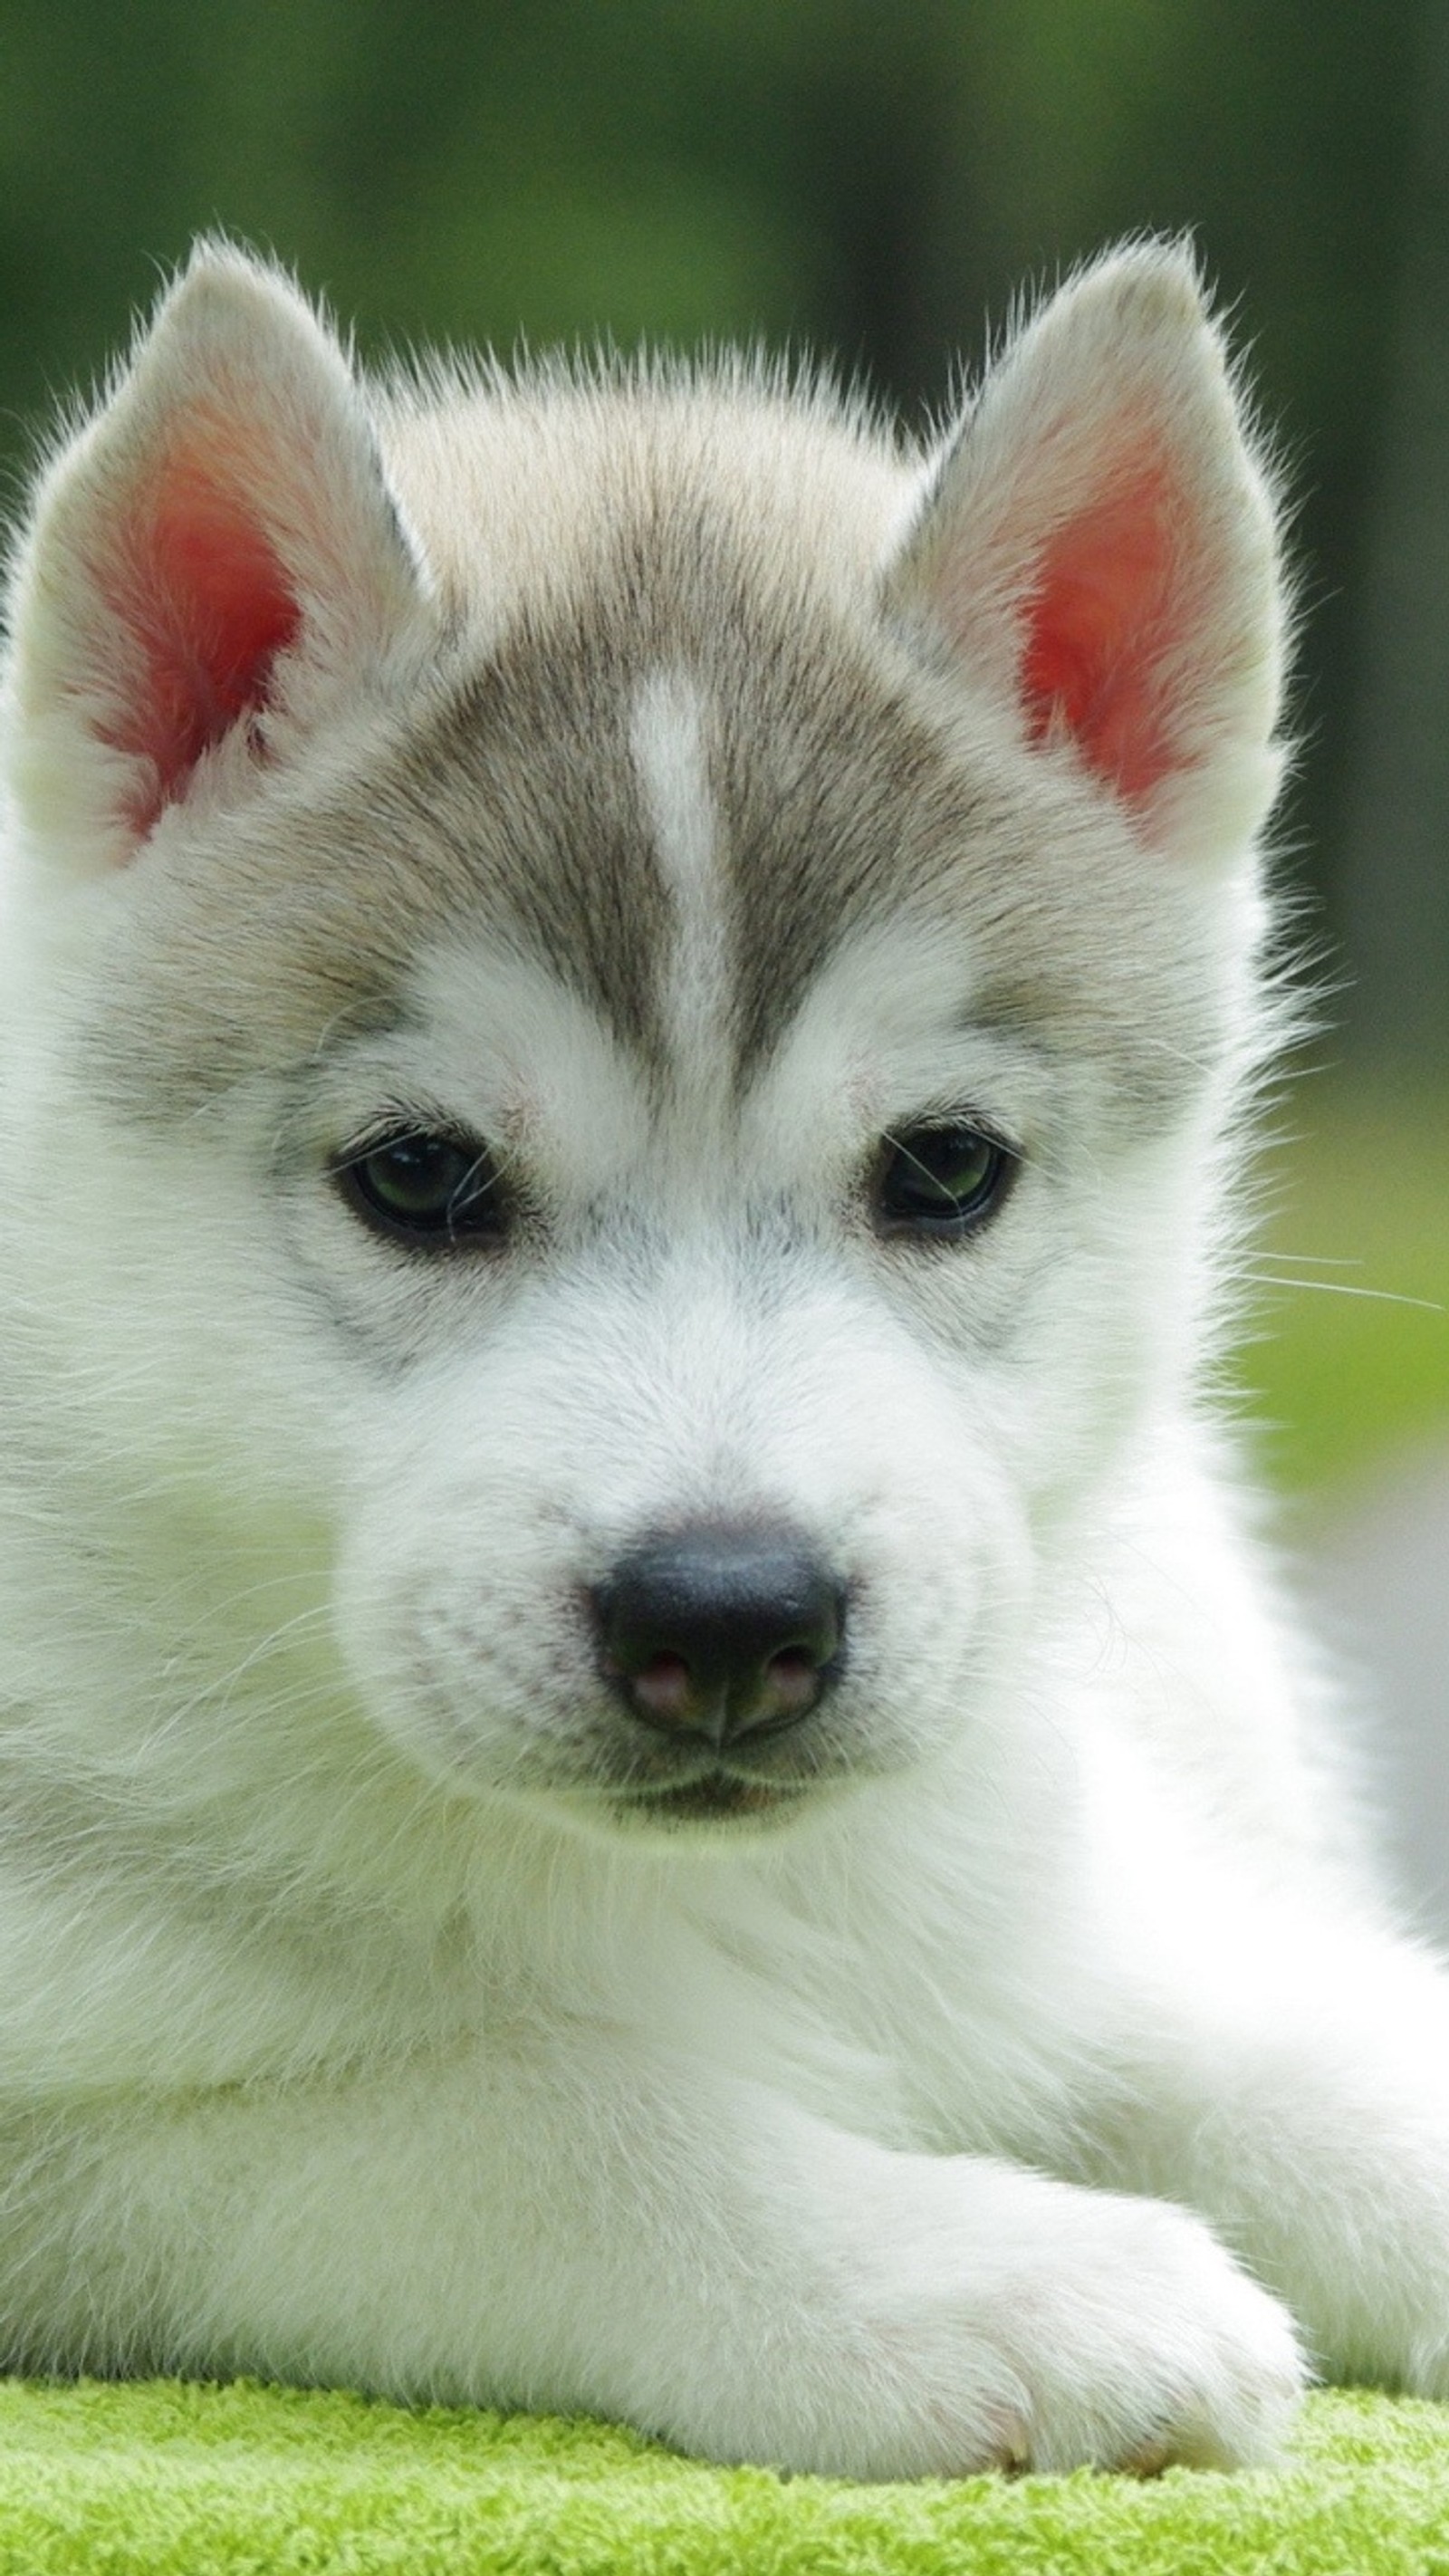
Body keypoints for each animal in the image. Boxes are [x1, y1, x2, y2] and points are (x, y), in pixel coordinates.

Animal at [0, 242, 1441, 2473]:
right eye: (420, 1175)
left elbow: (1273, 2041)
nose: (730, 1614)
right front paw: (989, 2274)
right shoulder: (105, 2133)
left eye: (942, 1167)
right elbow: (519, 2112)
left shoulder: (1063, 1895)